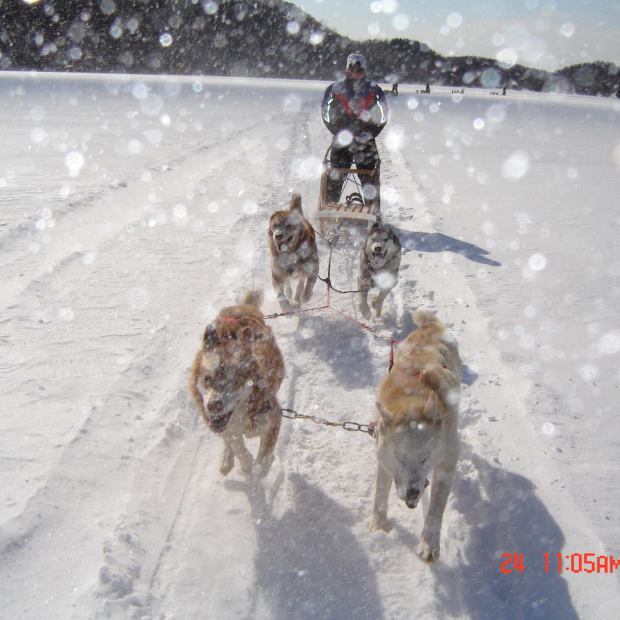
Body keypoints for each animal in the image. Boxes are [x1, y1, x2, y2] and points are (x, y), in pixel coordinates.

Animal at [189, 292, 286, 480]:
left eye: (233, 382)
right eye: (207, 379)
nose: (214, 405)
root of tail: (239, 309)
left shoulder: (273, 420)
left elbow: (263, 460)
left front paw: (258, 470)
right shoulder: (226, 429)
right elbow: (237, 446)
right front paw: (245, 463)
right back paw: (227, 459)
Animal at [368, 310, 460, 560]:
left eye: (424, 458)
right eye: (400, 459)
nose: (412, 493)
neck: (412, 396)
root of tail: (429, 325)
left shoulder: (446, 466)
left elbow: (436, 510)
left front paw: (429, 543)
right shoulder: (384, 460)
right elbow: (380, 493)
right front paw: (379, 525)